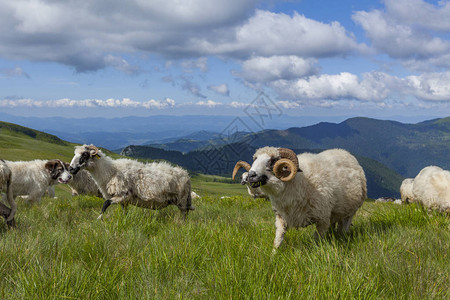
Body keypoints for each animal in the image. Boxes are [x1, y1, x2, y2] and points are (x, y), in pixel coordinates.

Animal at [232, 147, 366, 248]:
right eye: (255, 159)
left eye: (273, 160)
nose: (250, 176)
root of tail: (346, 153)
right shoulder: (281, 217)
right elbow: (278, 240)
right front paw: (273, 256)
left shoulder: (322, 219)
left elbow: (317, 240)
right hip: (336, 212)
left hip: (351, 210)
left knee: (345, 225)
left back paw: (343, 236)